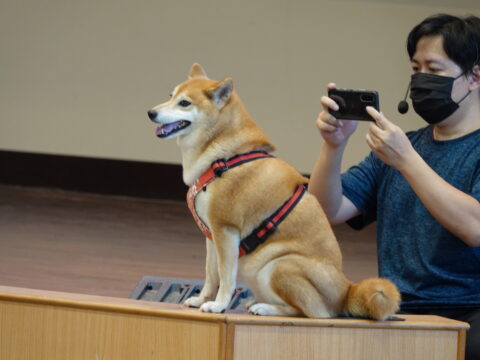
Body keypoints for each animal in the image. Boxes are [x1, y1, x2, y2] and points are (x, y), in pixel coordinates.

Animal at [147, 63, 402, 320]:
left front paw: (218, 305)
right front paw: (202, 299)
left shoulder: (225, 230)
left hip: (277, 266)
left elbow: (226, 278)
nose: (151, 113)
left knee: (307, 312)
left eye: (184, 103)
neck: (223, 156)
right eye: (170, 96)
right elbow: (210, 275)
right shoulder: (211, 235)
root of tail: (346, 290)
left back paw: (264, 308)